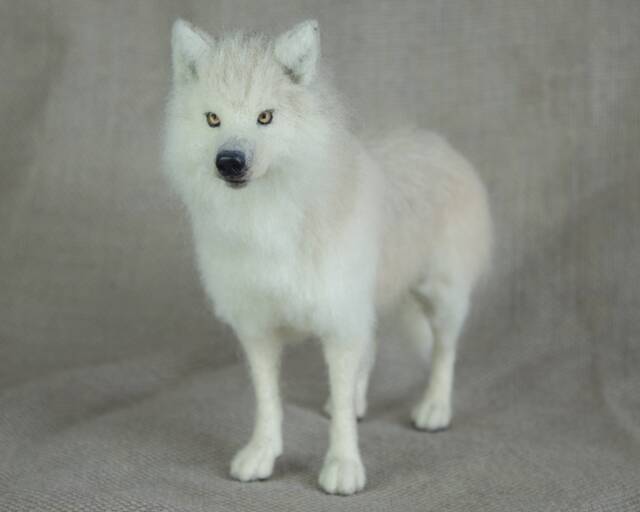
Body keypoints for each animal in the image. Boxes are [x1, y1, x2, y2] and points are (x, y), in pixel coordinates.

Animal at [164, 19, 492, 495]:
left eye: (265, 117)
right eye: (213, 119)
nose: (229, 162)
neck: (269, 217)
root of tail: (440, 145)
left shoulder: (338, 322)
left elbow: (339, 411)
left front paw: (342, 467)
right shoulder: (259, 329)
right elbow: (268, 401)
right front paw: (261, 454)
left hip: (441, 297)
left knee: (444, 352)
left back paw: (434, 410)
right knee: (371, 349)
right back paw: (360, 402)